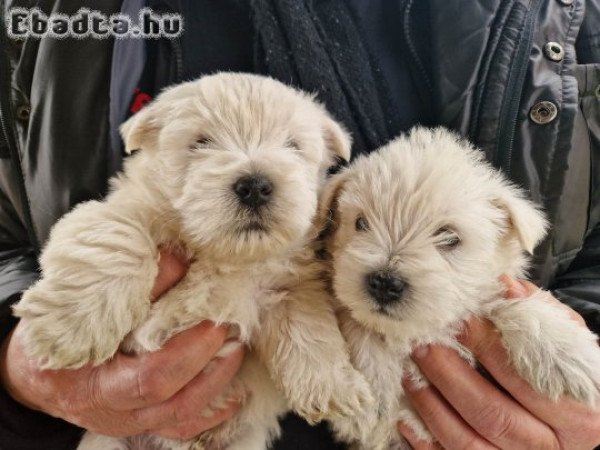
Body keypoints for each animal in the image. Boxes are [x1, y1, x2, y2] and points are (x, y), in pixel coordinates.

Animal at [12, 73, 376, 450]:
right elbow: (117, 242)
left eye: (293, 146)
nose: (255, 185)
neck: (223, 254)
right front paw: (69, 330)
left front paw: (338, 389)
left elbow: (309, 328)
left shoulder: (290, 286)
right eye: (200, 142)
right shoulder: (117, 211)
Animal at [314, 126, 600, 450]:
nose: (384, 283)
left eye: (450, 238)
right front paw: (370, 393)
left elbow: (509, 304)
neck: (419, 332)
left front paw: (567, 355)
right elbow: (356, 322)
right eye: (361, 223)